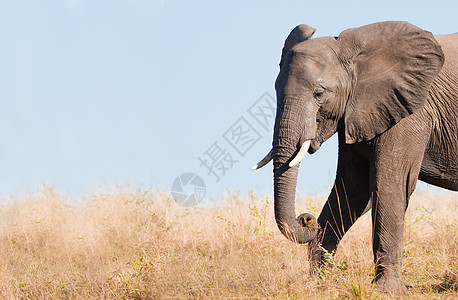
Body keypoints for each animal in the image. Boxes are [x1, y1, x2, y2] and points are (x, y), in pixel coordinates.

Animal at [252, 22, 456, 294]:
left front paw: (386, 291)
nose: (306, 219)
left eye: (319, 93)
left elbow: (388, 185)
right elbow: (353, 189)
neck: (356, 54)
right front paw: (319, 284)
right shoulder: (358, 111)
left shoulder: (411, 112)